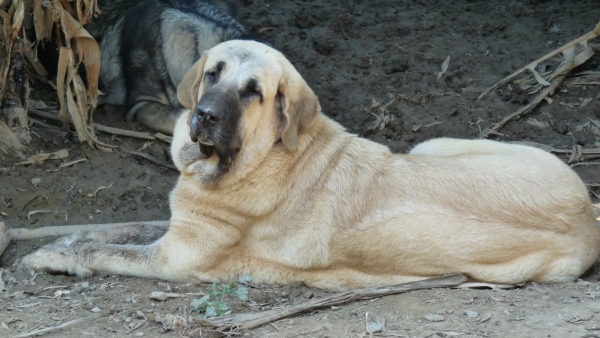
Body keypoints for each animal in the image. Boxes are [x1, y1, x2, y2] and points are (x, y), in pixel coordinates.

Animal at [21, 40, 600, 290]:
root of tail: (588, 215)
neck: (259, 157)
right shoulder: (173, 227)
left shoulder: (174, 257)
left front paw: (53, 256)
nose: (204, 117)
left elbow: (108, 249)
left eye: (253, 92)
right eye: (213, 72)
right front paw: (62, 241)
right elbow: (117, 229)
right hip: (433, 146)